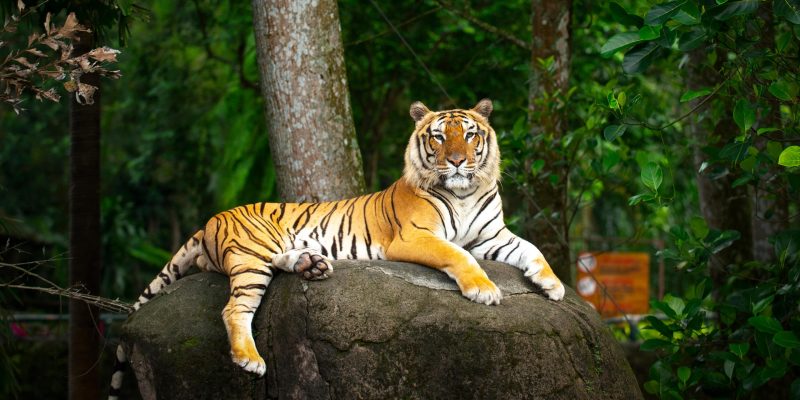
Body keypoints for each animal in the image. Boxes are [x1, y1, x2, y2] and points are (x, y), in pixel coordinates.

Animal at [109, 98, 564, 398]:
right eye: (438, 136)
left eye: (470, 135)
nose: (455, 161)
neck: (465, 193)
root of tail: (210, 220)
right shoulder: (416, 236)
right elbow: (459, 255)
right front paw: (484, 290)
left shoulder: (494, 236)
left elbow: (533, 250)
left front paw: (554, 286)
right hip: (252, 256)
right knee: (233, 308)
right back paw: (250, 358)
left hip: (268, 252)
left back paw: (312, 265)